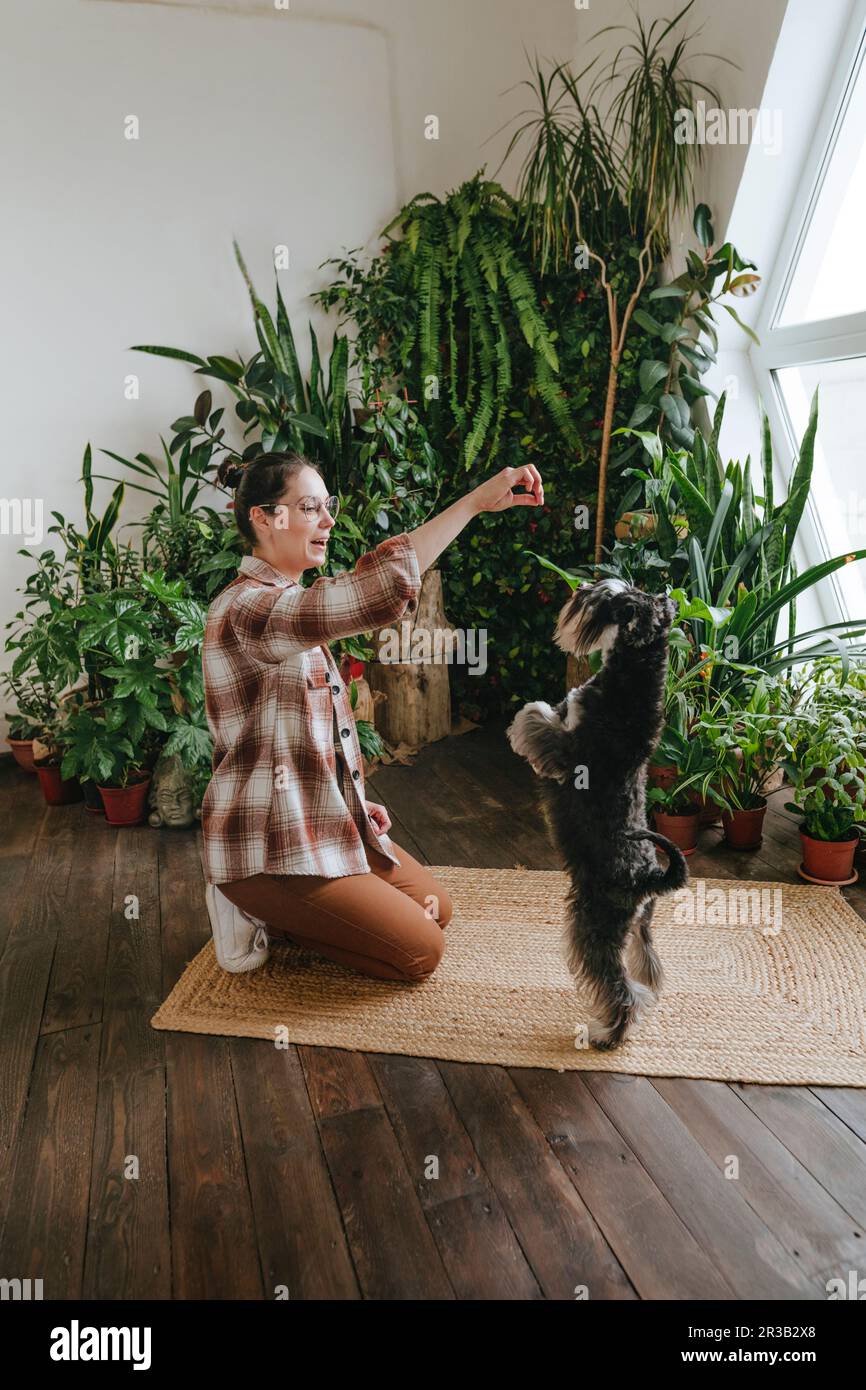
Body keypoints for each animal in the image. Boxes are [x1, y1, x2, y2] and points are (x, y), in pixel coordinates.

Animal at [505, 581, 686, 1045]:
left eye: (616, 599)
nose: (581, 588)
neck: (633, 679)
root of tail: (651, 878)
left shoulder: (567, 751)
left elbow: (538, 716)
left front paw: (523, 721)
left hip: (595, 928)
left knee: (617, 987)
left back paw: (608, 1034)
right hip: (641, 925)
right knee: (646, 965)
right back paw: (647, 995)